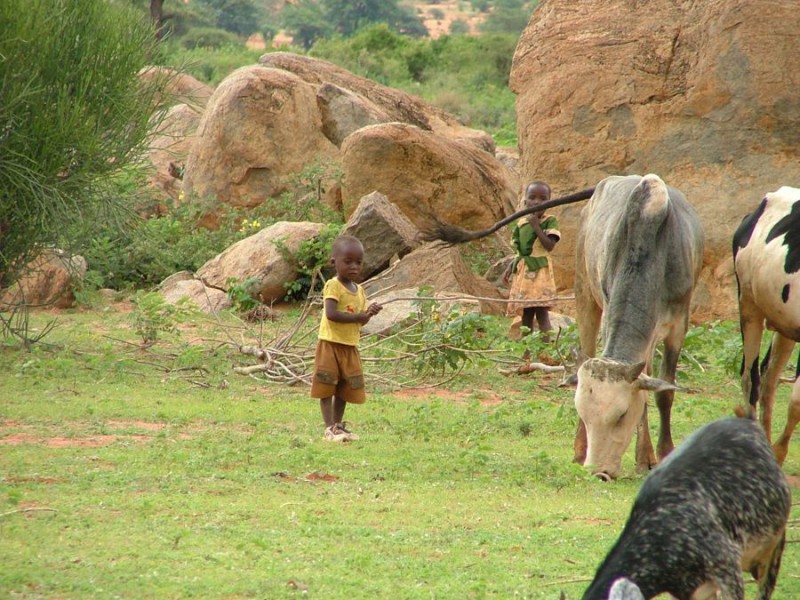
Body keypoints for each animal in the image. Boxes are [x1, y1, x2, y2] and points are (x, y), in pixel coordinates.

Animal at [572, 173, 704, 478]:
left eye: (621, 415)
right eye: (583, 413)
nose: (599, 472)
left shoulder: (678, 324)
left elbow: (664, 391)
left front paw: (663, 453)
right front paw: (644, 457)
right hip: (584, 294)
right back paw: (579, 450)